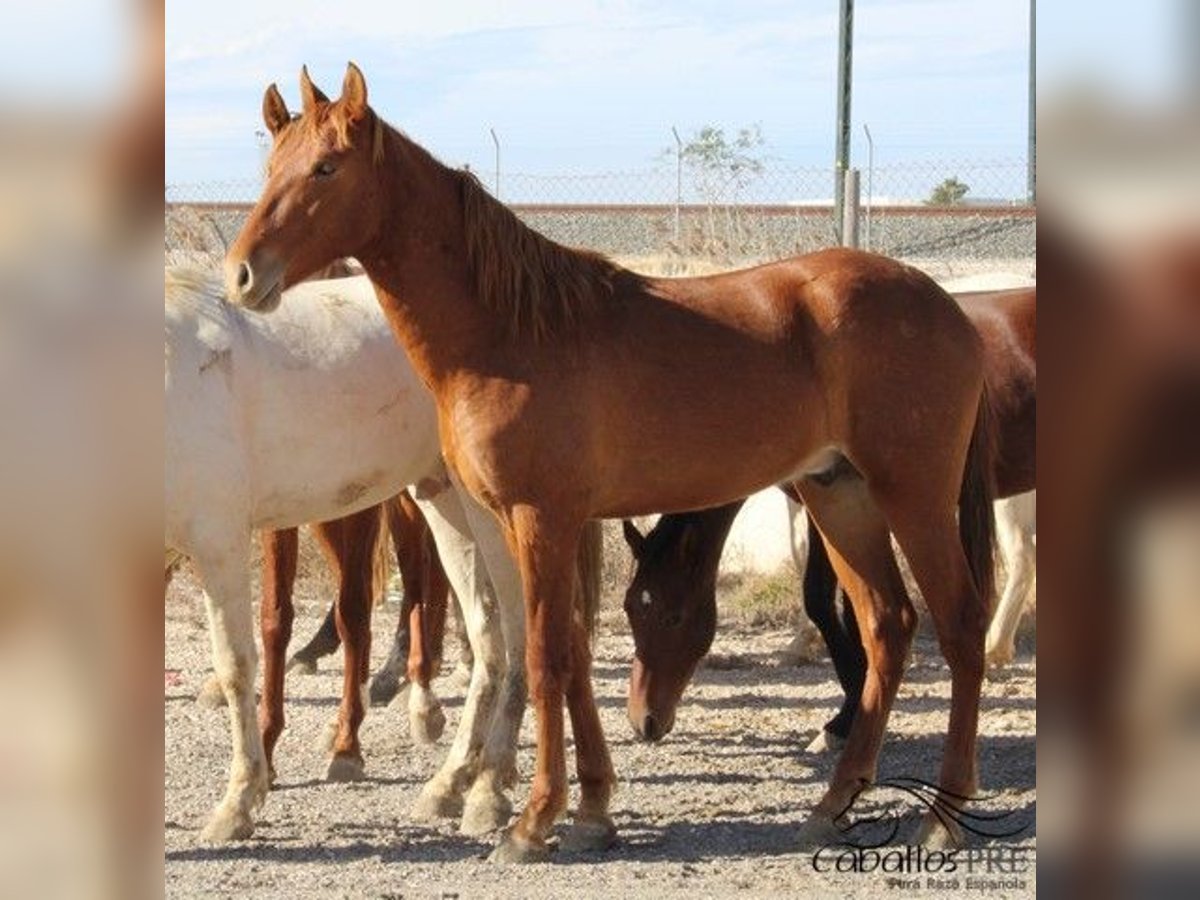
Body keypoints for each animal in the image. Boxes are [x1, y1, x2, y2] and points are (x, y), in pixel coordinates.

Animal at [164, 270, 525, 844]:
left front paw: (238, 803)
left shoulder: (216, 540)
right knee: (490, 635)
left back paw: (490, 790)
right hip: (442, 497)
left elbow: (237, 666)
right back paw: (455, 781)